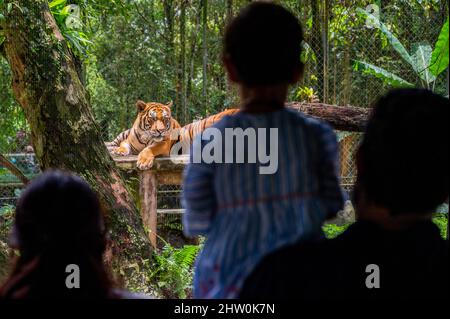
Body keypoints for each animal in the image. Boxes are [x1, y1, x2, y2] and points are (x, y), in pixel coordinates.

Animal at [109, 99, 241, 170]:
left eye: (165, 119)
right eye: (152, 119)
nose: (160, 131)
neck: (145, 137)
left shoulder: (163, 144)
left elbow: (150, 148)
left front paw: (144, 162)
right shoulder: (129, 140)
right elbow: (123, 144)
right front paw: (120, 151)